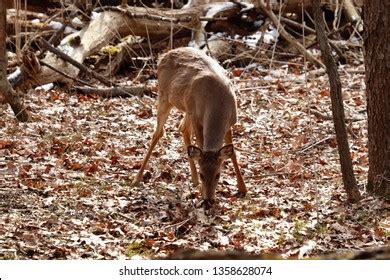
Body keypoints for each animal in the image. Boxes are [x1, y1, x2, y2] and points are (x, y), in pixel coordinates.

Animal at [132, 46, 247, 208]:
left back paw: (193, 180)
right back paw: (137, 178)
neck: (218, 105)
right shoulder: (198, 119)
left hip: (187, 108)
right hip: (165, 96)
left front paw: (242, 187)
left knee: (182, 128)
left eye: (218, 175)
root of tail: (164, 55)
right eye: (202, 174)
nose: (209, 200)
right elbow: (200, 145)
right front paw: (201, 189)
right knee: (158, 132)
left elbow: (233, 153)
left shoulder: (230, 122)